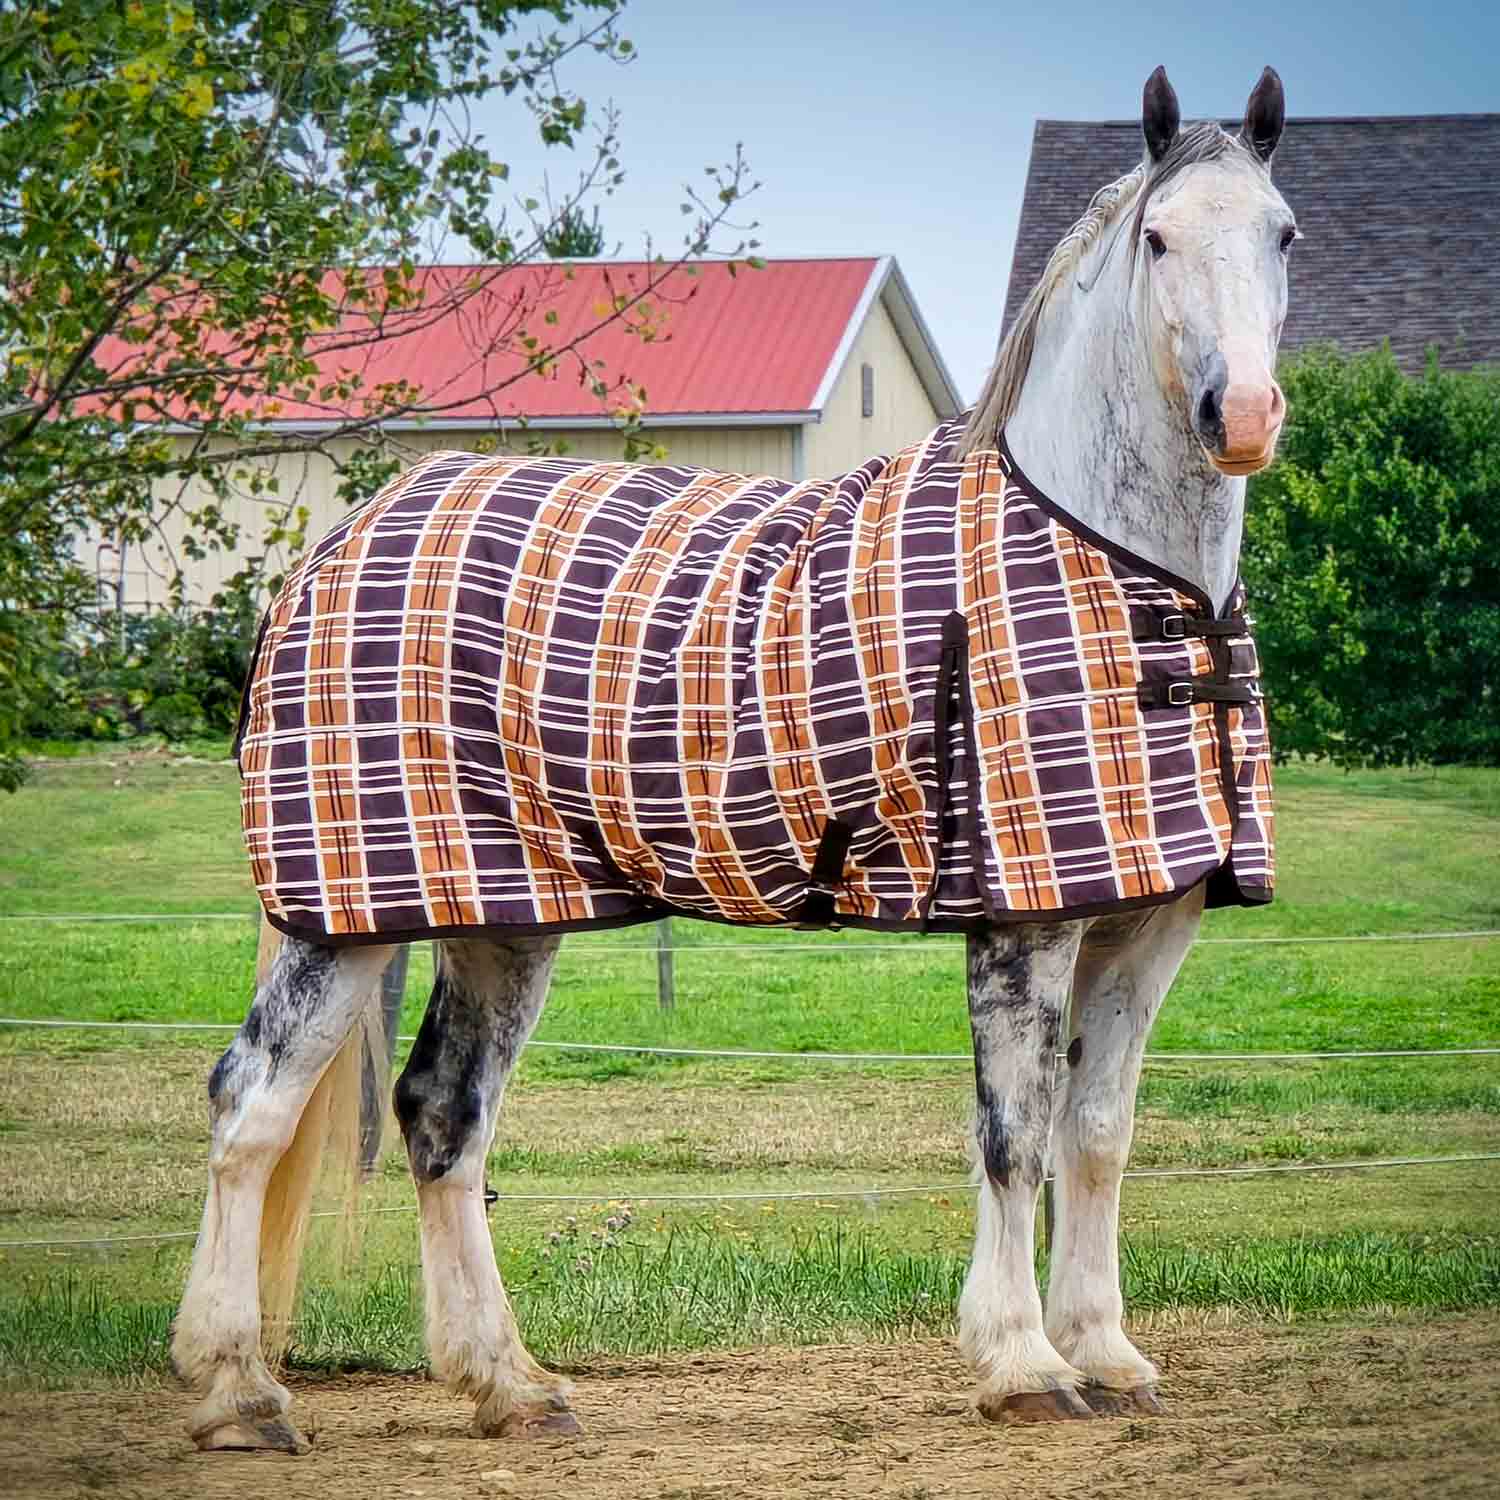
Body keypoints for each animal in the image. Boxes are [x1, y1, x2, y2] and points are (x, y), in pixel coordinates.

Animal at [172, 64, 1294, 1449]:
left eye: (1283, 233)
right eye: (1158, 239)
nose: (1243, 415)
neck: (1119, 569)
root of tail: (337, 546)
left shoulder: (1150, 916)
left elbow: (1098, 1134)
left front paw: (1108, 1352)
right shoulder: (1023, 920)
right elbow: (1014, 1135)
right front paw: (1025, 1362)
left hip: (500, 914)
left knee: (443, 1117)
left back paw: (509, 1385)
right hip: (346, 920)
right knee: (250, 1111)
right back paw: (236, 1388)